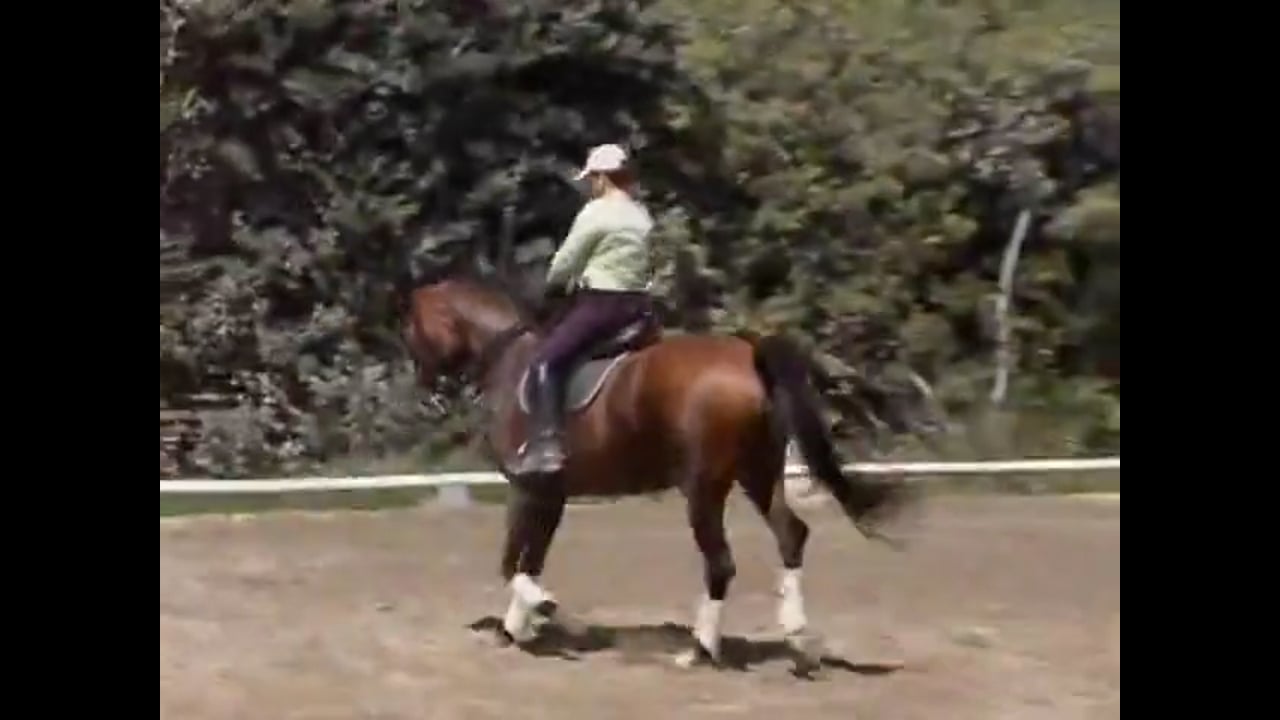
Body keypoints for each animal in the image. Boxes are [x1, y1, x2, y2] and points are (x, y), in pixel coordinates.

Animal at [402, 273, 935, 671]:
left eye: (413, 326)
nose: (425, 389)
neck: (513, 364)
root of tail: (749, 356)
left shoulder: (527, 488)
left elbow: (512, 561)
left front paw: (546, 613)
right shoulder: (551, 494)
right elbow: (530, 557)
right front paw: (518, 629)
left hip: (704, 487)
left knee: (721, 563)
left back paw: (700, 650)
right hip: (758, 474)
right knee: (791, 535)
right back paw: (798, 638)